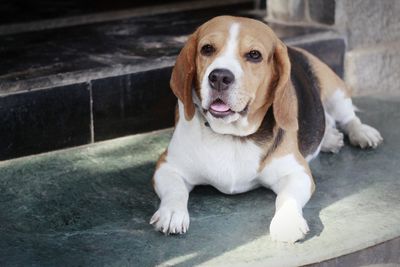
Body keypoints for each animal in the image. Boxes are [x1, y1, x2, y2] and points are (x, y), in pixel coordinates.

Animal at [149, 15, 382, 244]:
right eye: (207, 49)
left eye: (254, 55)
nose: (219, 77)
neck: (231, 135)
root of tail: (296, 49)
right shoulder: (167, 166)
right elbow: (176, 191)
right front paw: (172, 213)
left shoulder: (297, 172)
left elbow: (286, 197)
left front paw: (287, 222)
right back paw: (329, 139)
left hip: (335, 92)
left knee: (349, 117)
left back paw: (362, 133)